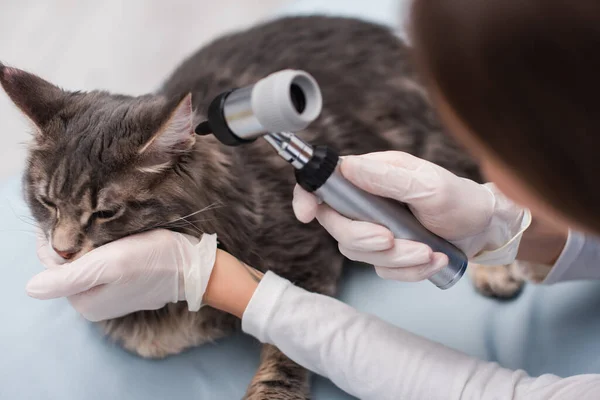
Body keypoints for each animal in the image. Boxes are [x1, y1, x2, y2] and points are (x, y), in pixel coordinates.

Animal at [0, 15, 548, 400]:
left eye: (105, 213)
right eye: (46, 201)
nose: (63, 251)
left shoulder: (305, 259)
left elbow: (286, 342)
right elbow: (149, 337)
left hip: (433, 144)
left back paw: (495, 266)